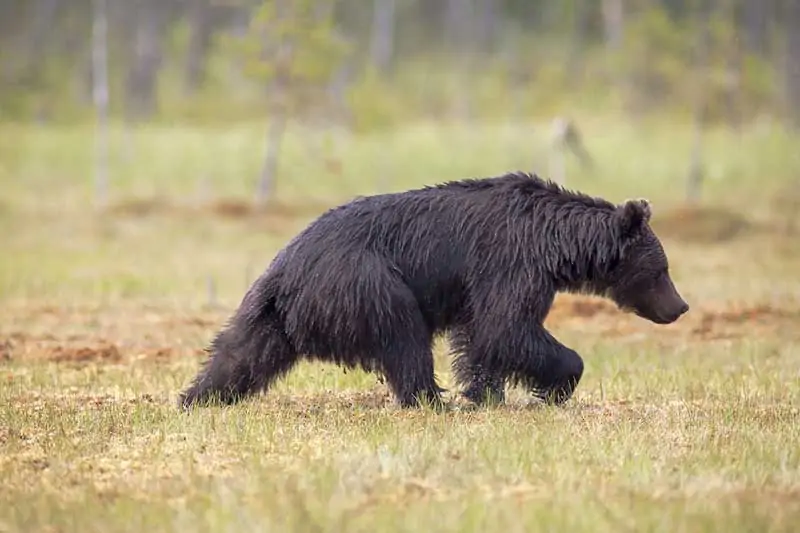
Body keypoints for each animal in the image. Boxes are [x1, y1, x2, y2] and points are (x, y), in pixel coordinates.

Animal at [180, 170, 688, 408]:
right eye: (661, 269)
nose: (680, 307)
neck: (553, 243)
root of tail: (285, 271)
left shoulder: (480, 284)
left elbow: (482, 337)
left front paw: (484, 393)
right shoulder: (510, 263)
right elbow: (507, 327)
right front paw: (556, 386)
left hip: (270, 311)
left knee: (240, 353)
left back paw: (197, 397)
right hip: (367, 282)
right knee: (405, 338)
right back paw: (430, 398)